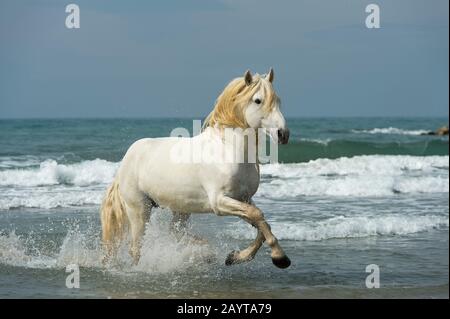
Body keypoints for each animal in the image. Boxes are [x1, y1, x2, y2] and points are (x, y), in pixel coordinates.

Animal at [101, 69, 292, 268]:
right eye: (258, 100)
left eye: (278, 100)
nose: (283, 134)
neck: (228, 148)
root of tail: (125, 161)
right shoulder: (219, 202)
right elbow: (258, 216)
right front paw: (280, 258)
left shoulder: (243, 199)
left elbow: (261, 223)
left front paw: (236, 257)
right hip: (139, 209)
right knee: (136, 247)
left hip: (181, 208)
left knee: (175, 232)